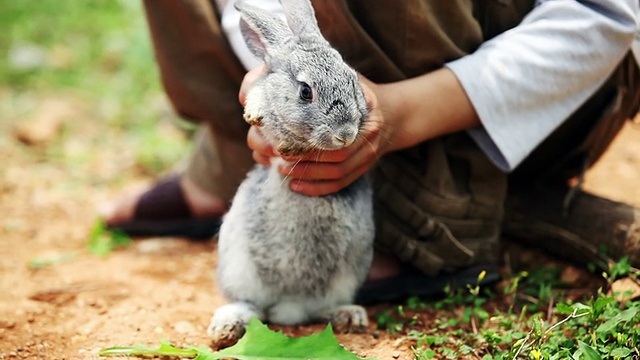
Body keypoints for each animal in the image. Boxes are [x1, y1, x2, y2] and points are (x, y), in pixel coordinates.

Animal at [205, 0, 376, 348]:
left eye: (353, 80)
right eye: (306, 92)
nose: (345, 134)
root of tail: (289, 307)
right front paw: (256, 113)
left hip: (346, 276)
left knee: (321, 309)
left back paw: (349, 316)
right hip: (239, 266)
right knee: (251, 306)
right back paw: (226, 328)